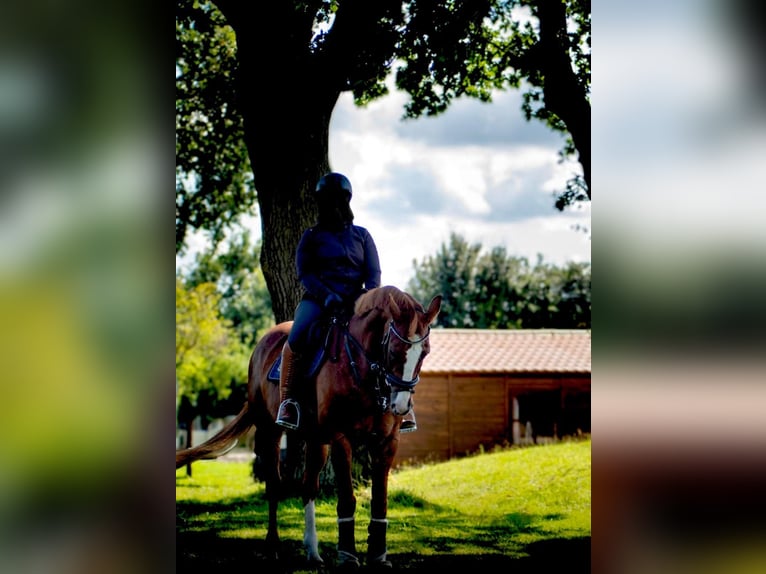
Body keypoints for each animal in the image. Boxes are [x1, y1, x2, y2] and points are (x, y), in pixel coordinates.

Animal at [173, 288, 438, 572]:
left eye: (424, 353)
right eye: (394, 350)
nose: (400, 405)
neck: (363, 370)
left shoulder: (387, 442)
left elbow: (380, 500)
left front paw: (378, 557)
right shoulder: (341, 438)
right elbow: (347, 498)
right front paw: (348, 556)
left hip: (316, 440)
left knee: (308, 486)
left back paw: (312, 551)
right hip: (270, 431)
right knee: (274, 485)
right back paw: (273, 547)